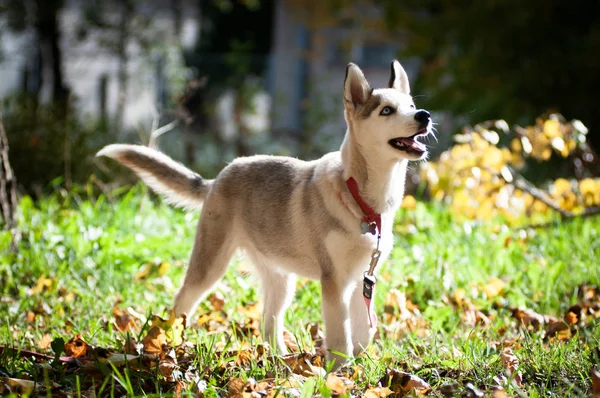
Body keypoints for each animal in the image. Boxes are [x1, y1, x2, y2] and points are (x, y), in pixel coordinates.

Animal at [98, 59, 434, 366]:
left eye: (411, 105)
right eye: (386, 111)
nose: (424, 115)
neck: (359, 197)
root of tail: (218, 177)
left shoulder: (361, 278)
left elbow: (363, 329)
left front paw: (361, 365)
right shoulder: (335, 281)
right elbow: (340, 335)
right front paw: (340, 373)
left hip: (281, 280)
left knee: (267, 324)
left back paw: (282, 361)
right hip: (210, 264)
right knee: (182, 302)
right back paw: (170, 343)